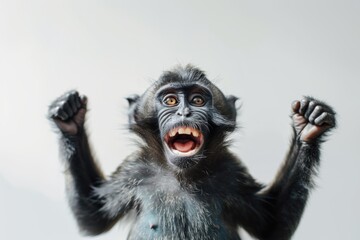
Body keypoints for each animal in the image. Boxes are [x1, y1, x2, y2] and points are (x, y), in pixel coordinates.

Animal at [48, 64, 338, 239]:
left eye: (198, 100)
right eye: (170, 100)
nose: (185, 112)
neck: (182, 176)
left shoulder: (231, 171)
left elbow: (272, 225)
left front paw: (308, 126)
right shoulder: (134, 170)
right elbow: (92, 216)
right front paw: (70, 120)